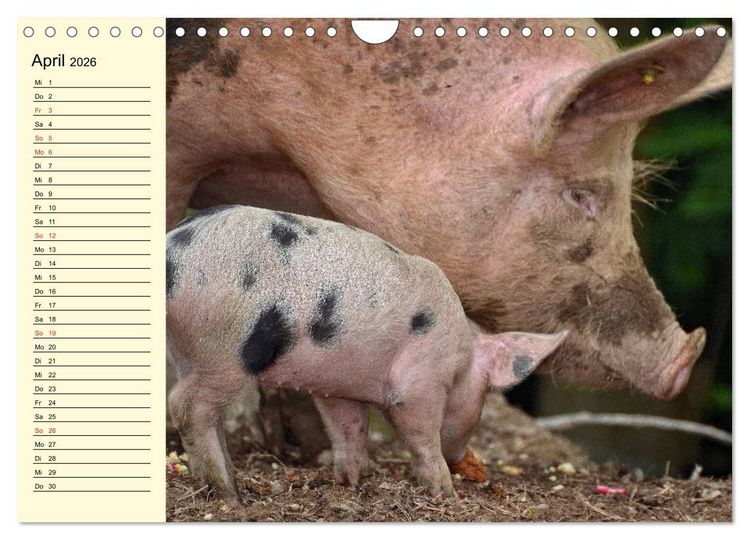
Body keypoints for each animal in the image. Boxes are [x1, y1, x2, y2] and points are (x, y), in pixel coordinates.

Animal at [166, 205, 566, 501]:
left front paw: (355, 481)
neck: (462, 356)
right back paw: (229, 494)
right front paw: (445, 493)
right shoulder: (420, 382)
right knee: (185, 406)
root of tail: (172, 252)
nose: (460, 460)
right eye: (483, 400)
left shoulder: (338, 385)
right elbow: (421, 434)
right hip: (224, 348)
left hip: (189, 351)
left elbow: (349, 428)